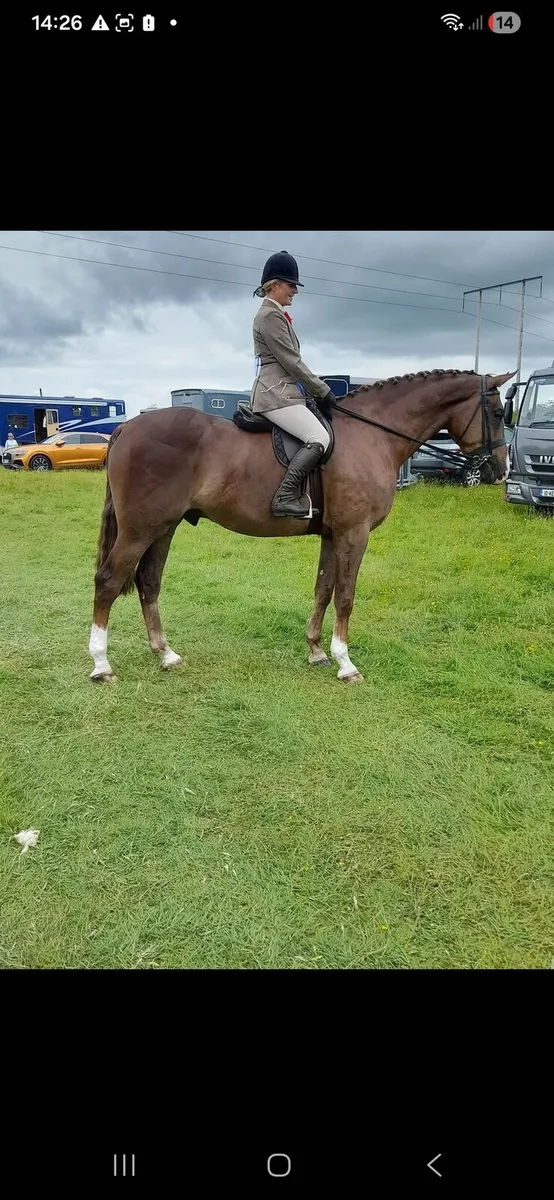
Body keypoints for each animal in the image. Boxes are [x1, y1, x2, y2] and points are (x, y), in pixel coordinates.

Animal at [88, 367, 515, 685]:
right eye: (497, 413)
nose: (500, 471)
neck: (372, 435)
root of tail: (126, 428)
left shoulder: (332, 534)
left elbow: (323, 589)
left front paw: (316, 651)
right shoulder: (354, 533)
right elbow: (345, 596)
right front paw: (346, 664)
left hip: (164, 527)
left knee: (148, 582)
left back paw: (166, 654)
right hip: (140, 529)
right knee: (108, 581)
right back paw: (101, 665)